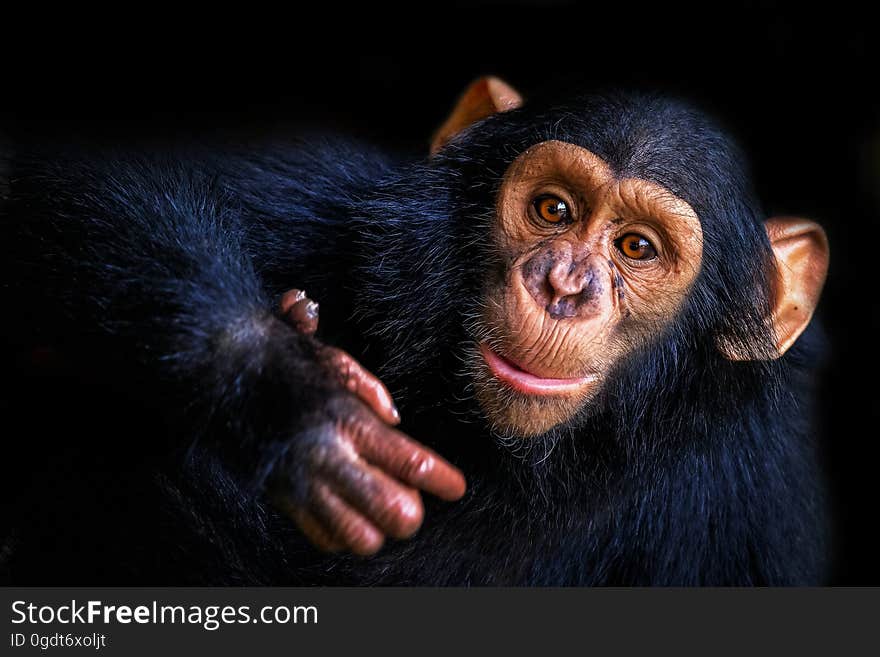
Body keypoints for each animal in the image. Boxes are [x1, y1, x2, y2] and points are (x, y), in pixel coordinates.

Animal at [0, 78, 828, 584]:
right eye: (554, 209)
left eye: (636, 248)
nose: (563, 286)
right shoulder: (340, 203)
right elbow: (69, 169)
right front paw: (295, 397)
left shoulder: (751, 490)